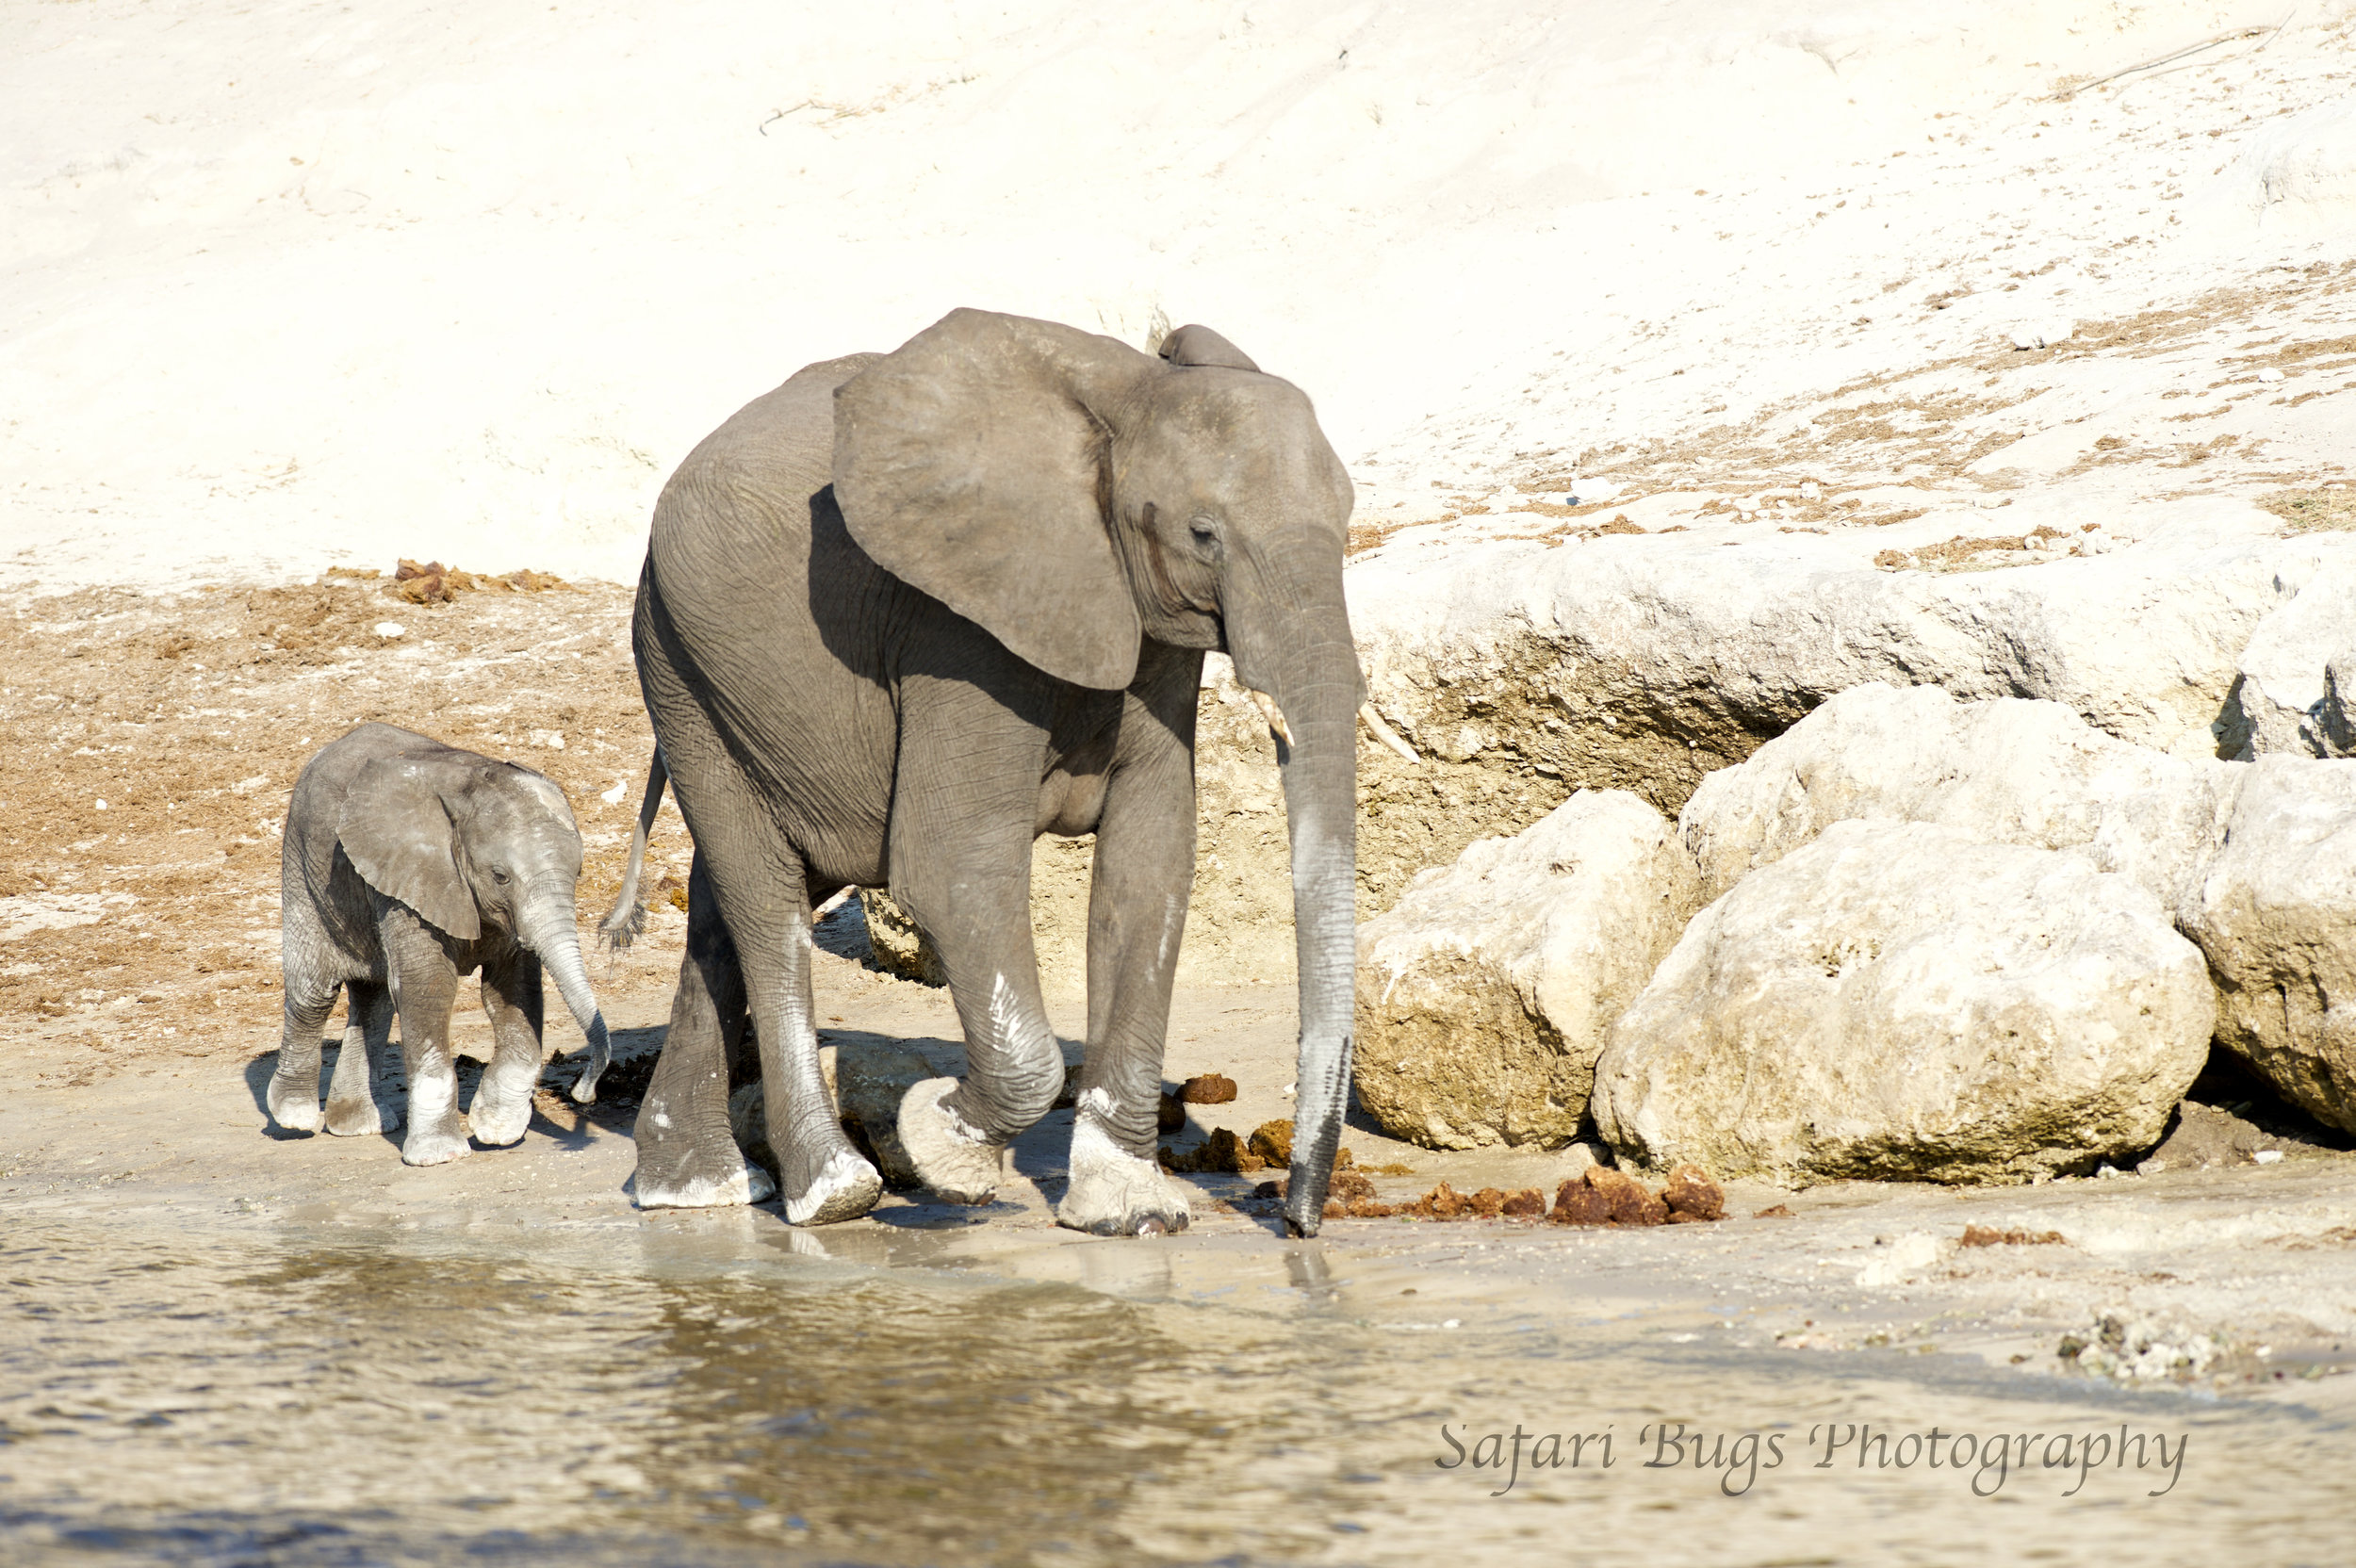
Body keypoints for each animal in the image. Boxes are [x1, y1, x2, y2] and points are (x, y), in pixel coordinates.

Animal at [269, 720, 617, 1158]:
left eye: (579, 872)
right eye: (500, 876)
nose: (584, 1092)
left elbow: (514, 990)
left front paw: (497, 1132)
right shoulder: (410, 878)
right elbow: (428, 987)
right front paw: (440, 1153)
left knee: (373, 999)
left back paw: (359, 1125)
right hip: (301, 862)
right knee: (314, 992)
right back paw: (294, 1118)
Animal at [617, 305, 1366, 1233]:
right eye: (1203, 533)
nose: (1298, 1222)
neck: (1128, 396)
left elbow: (1150, 864)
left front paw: (1129, 1214)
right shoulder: (956, 627)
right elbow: (953, 868)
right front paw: (941, 1150)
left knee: (728, 899)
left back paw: (693, 1187)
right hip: (679, 664)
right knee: (763, 896)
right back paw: (833, 1192)